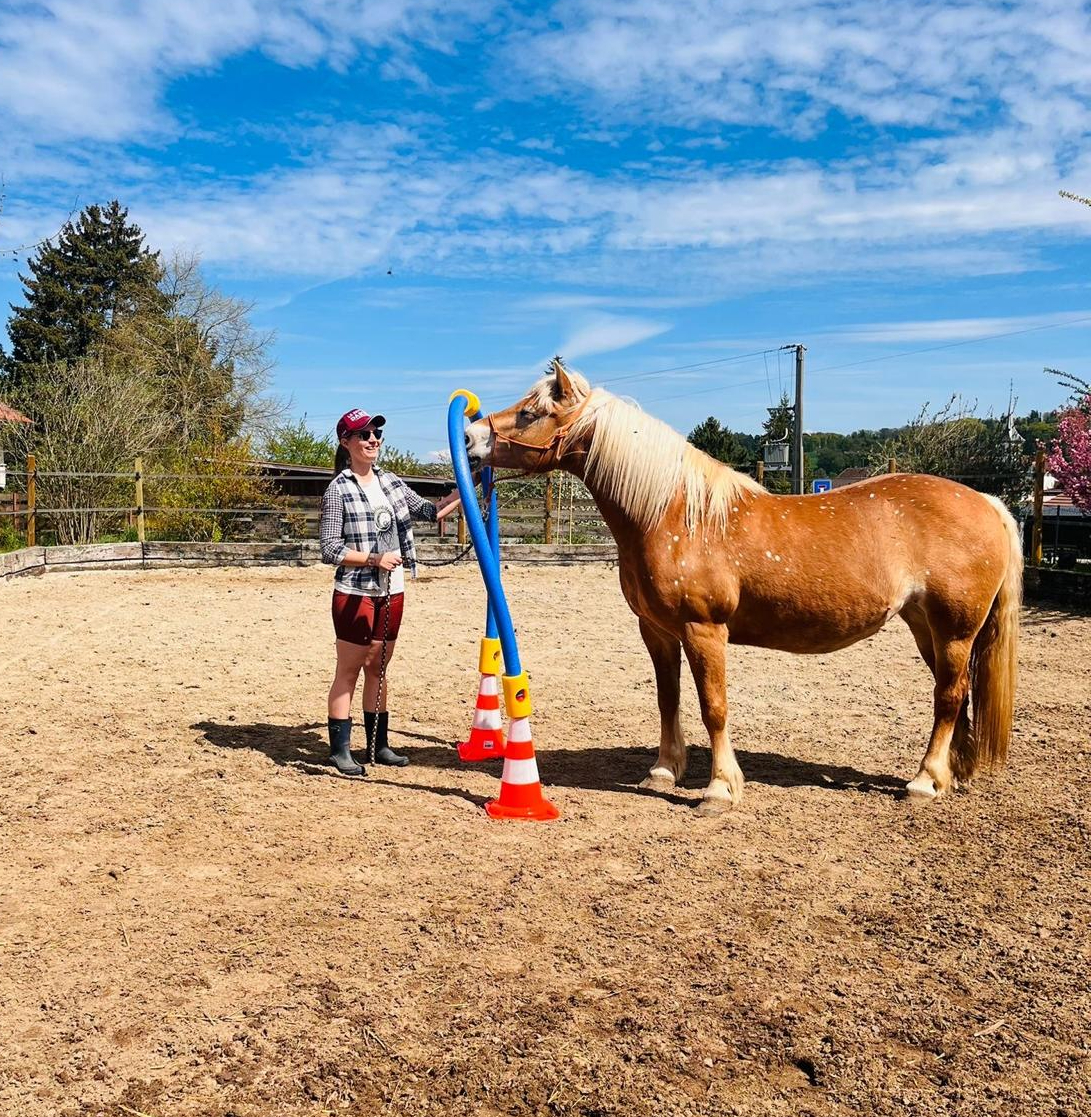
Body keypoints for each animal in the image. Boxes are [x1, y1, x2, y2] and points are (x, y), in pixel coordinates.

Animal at [465, 358, 1022, 815]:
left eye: (531, 413)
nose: (469, 438)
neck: (672, 513)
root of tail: (987, 502)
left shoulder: (704, 630)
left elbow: (714, 706)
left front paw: (720, 788)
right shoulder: (657, 631)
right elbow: (668, 698)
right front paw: (664, 770)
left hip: (954, 630)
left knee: (948, 696)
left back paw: (925, 781)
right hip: (927, 628)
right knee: (958, 694)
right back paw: (954, 774)